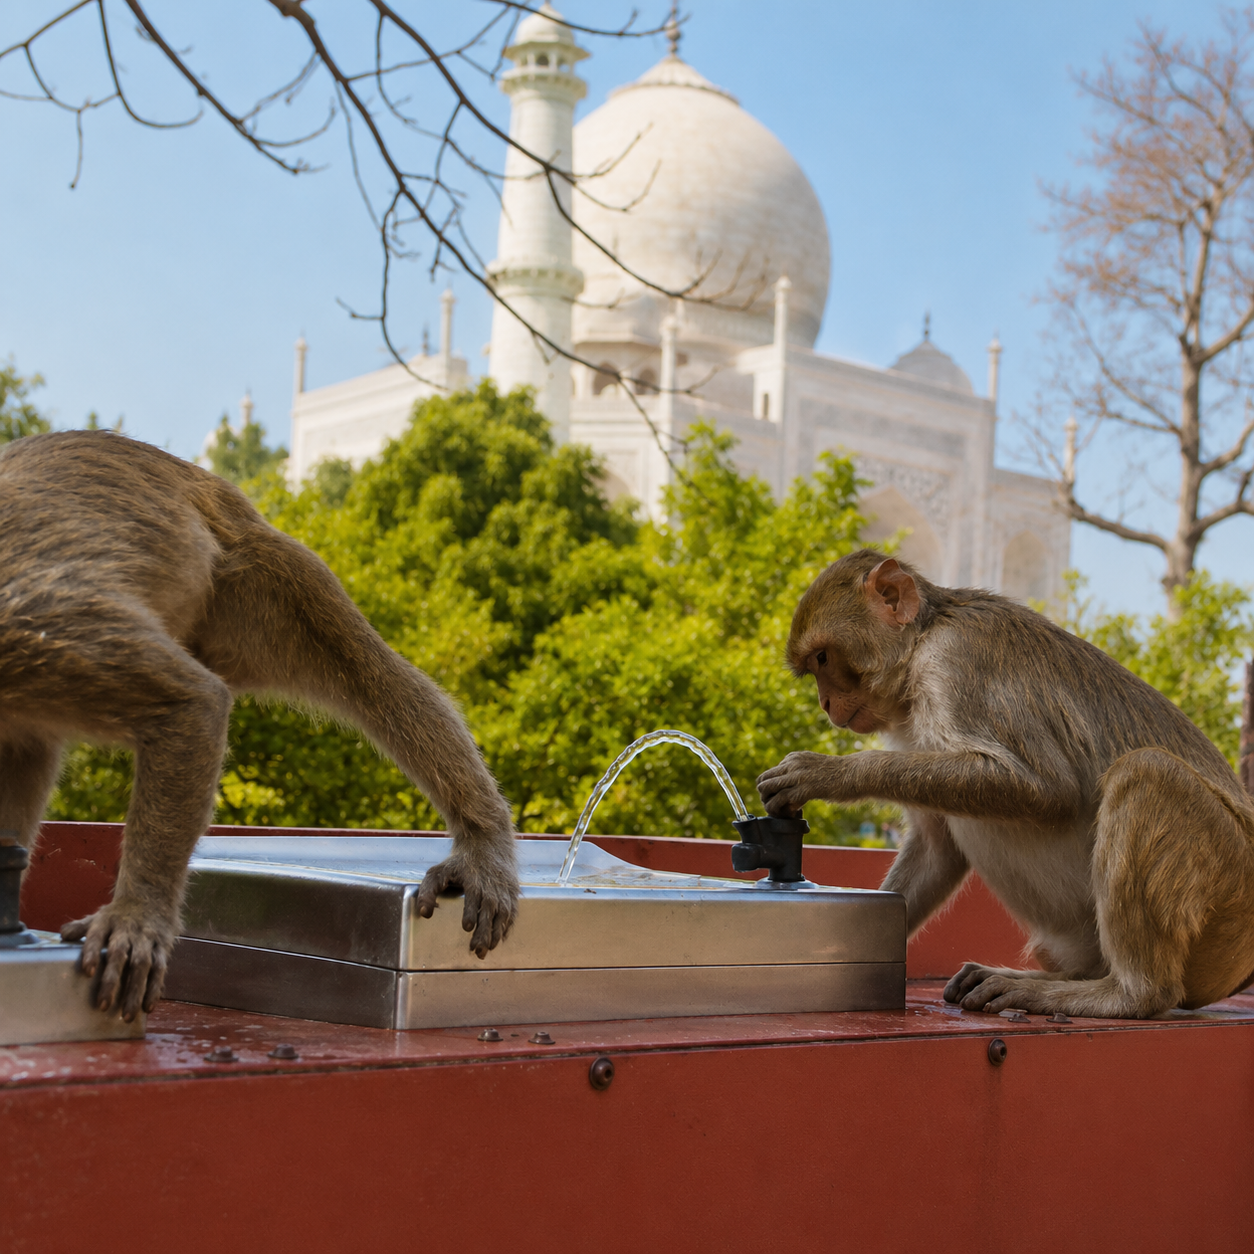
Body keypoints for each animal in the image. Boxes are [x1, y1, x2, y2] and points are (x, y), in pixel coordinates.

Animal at [0, 430, 519, 1021]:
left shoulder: (31, 627)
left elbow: (189, 705)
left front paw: (135, 918)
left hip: (252, 575)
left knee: (370, 676)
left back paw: (481, 841)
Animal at [757, 548, 1254, 1019]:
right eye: (813, 667)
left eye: (823, 658)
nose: (825, 703)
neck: (920, 644)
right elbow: (937, 849)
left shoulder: (956, 661)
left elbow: (1043, 788)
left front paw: (828, 773)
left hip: (1229, 905)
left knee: (1146, 772)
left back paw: (1122, 993)